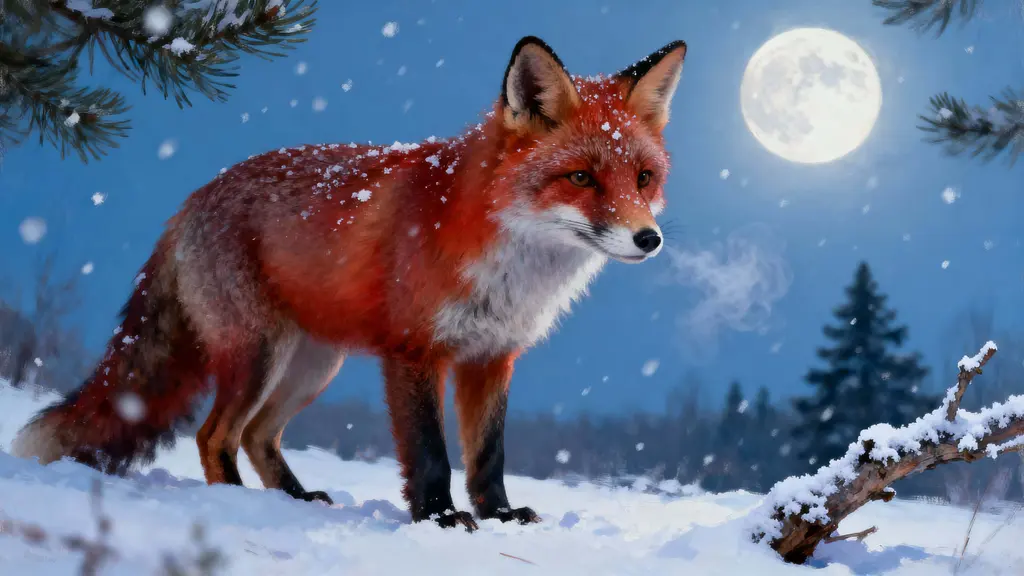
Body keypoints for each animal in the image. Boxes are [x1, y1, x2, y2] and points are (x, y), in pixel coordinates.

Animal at [12, 36, 687, 531]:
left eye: (644, 178)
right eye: (581, 178)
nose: (648, 239)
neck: (510, 266)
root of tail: (190, 201)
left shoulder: (493, 357)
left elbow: (488, 456)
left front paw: (498, 515)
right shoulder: (414, 352)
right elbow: (431, 454)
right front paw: (439, 520)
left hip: (313, 366)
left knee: (257, 435)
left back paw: (292, 499)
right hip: (258, 355)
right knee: (214, 435)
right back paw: (238, 505)